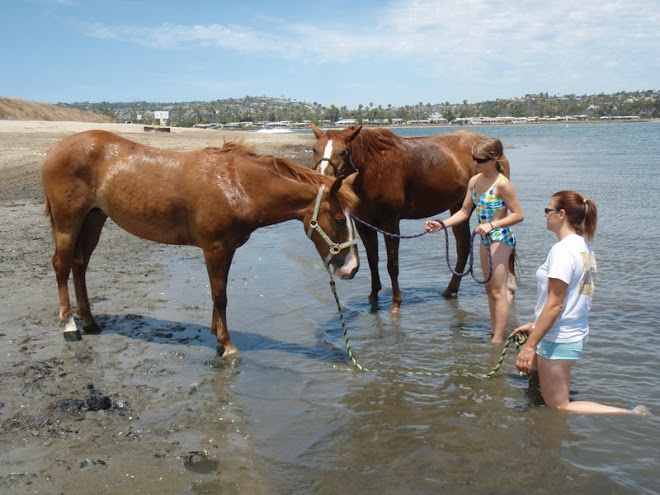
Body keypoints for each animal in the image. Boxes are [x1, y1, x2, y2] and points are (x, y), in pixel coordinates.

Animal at [43, 130, 358, 358]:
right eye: (339, 219)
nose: (353, 269)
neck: (236, 185)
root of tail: (56, 149)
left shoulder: (226, 249)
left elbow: (219, 294)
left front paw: (216, 334)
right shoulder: (215, 248)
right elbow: (220, 295)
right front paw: (227, 347)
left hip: (94, 219)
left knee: (79, 266)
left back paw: (89, 321)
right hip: (68, 222)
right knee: (61, 265)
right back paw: (70, 325)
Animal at [312, 125, 512, 314]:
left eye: (344, 152)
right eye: (314, 149)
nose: (323, 179)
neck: (374, 168)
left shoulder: (390, 223)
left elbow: (392, 264)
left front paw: (396, 302)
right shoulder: (364, 225)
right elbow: (372, 261)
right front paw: (373, 298)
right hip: (458, 207)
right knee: (463, 247)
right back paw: (451, 289)